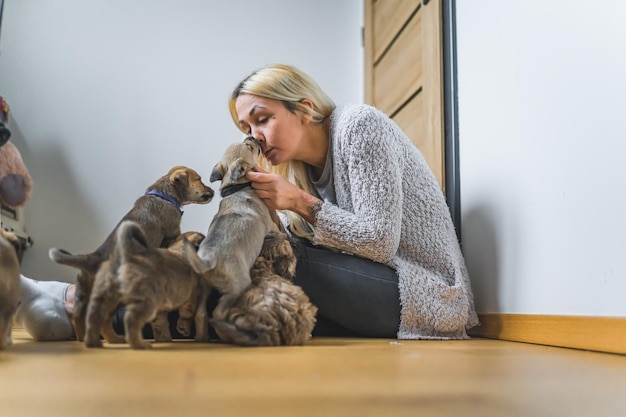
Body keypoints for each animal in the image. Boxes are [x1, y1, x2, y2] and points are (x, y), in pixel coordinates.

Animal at [84, 219, 210, 350]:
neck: (180, 250)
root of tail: (126, 257)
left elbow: (161, 323)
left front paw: (164, 337)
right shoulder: (192, 297)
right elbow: (187, 313)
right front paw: (182, 327)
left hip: (108, 299)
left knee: (97, 319)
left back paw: (100, 342)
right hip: (146, 302)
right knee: (130, 320)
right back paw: (139, 344)